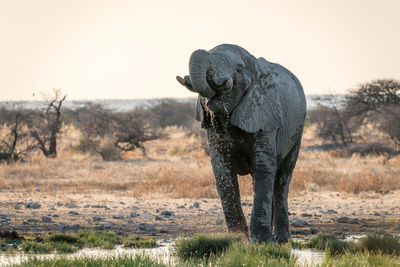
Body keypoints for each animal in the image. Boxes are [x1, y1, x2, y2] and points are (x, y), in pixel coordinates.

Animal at [176, 44, 306, 245]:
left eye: (238, 69)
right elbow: (222, 170)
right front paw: (239, 239)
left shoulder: (266, 114)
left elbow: (263, 166)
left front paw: (262, 242)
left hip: (297, 132)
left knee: (283, 178)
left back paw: (282, 240)